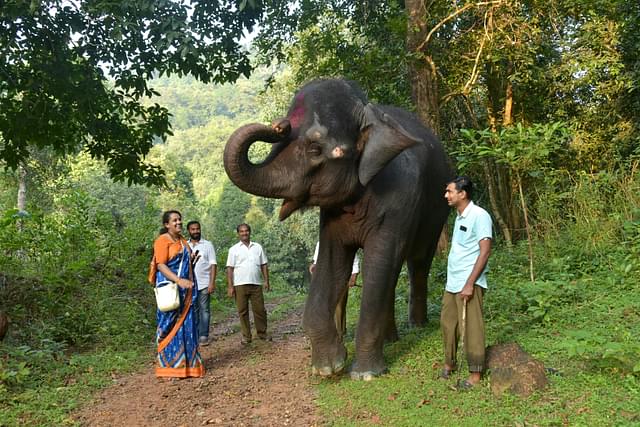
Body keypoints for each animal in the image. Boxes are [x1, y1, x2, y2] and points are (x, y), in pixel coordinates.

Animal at [222, 78, 452, 380]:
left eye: (315, 149)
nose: (279, 125)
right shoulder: (331, 217)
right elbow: (331, 264)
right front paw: (329, 367)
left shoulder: (400, 201)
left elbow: (377, 265)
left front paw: (365, 374)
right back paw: (391, 339)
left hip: (436, 211)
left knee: (417, 262)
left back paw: (417, 325)